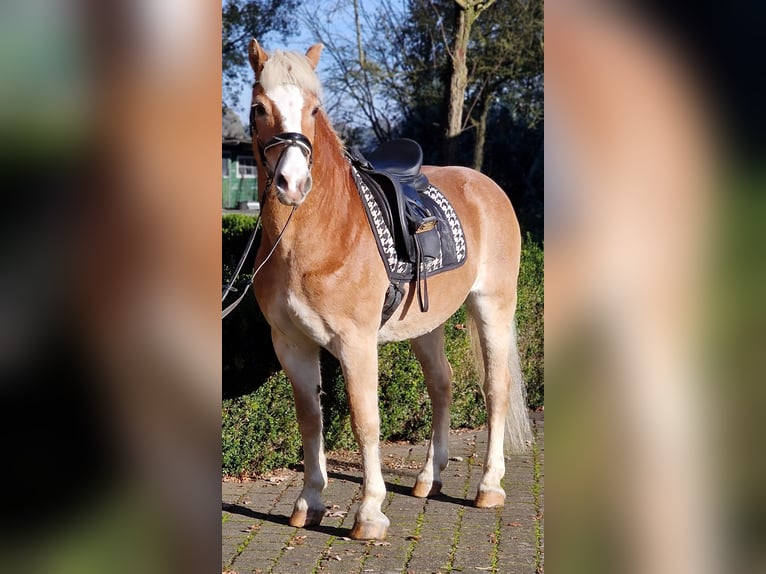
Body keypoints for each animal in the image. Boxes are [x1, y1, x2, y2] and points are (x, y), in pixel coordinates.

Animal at [249, 38, 532, 544]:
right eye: (259, 108)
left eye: (315, 108)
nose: (292, 184)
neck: (320, 233)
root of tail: (486, 185)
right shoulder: (291, 343)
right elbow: (309, 419)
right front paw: (309, 502)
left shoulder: (355, 343)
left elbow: (365, 421)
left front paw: (369, 512)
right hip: (426, 324)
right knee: (442, 384)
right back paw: (428, 478)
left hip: (493, 308)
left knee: (495, 389)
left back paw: (489, 486)